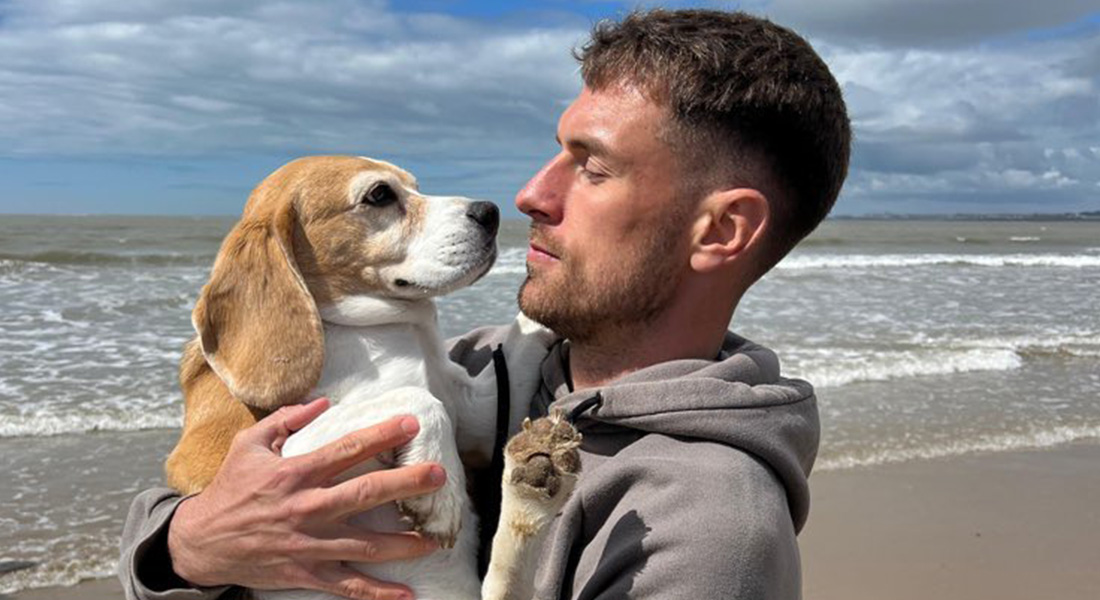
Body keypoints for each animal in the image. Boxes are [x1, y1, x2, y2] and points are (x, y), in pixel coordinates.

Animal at [165, 156, 581, 600]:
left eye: (415, 185)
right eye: (380, 194)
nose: (491, 212)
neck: (379, 329)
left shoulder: (478, 413)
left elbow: (517, 343)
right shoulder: (234, 461)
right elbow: (415, 397)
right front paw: (442, 493)